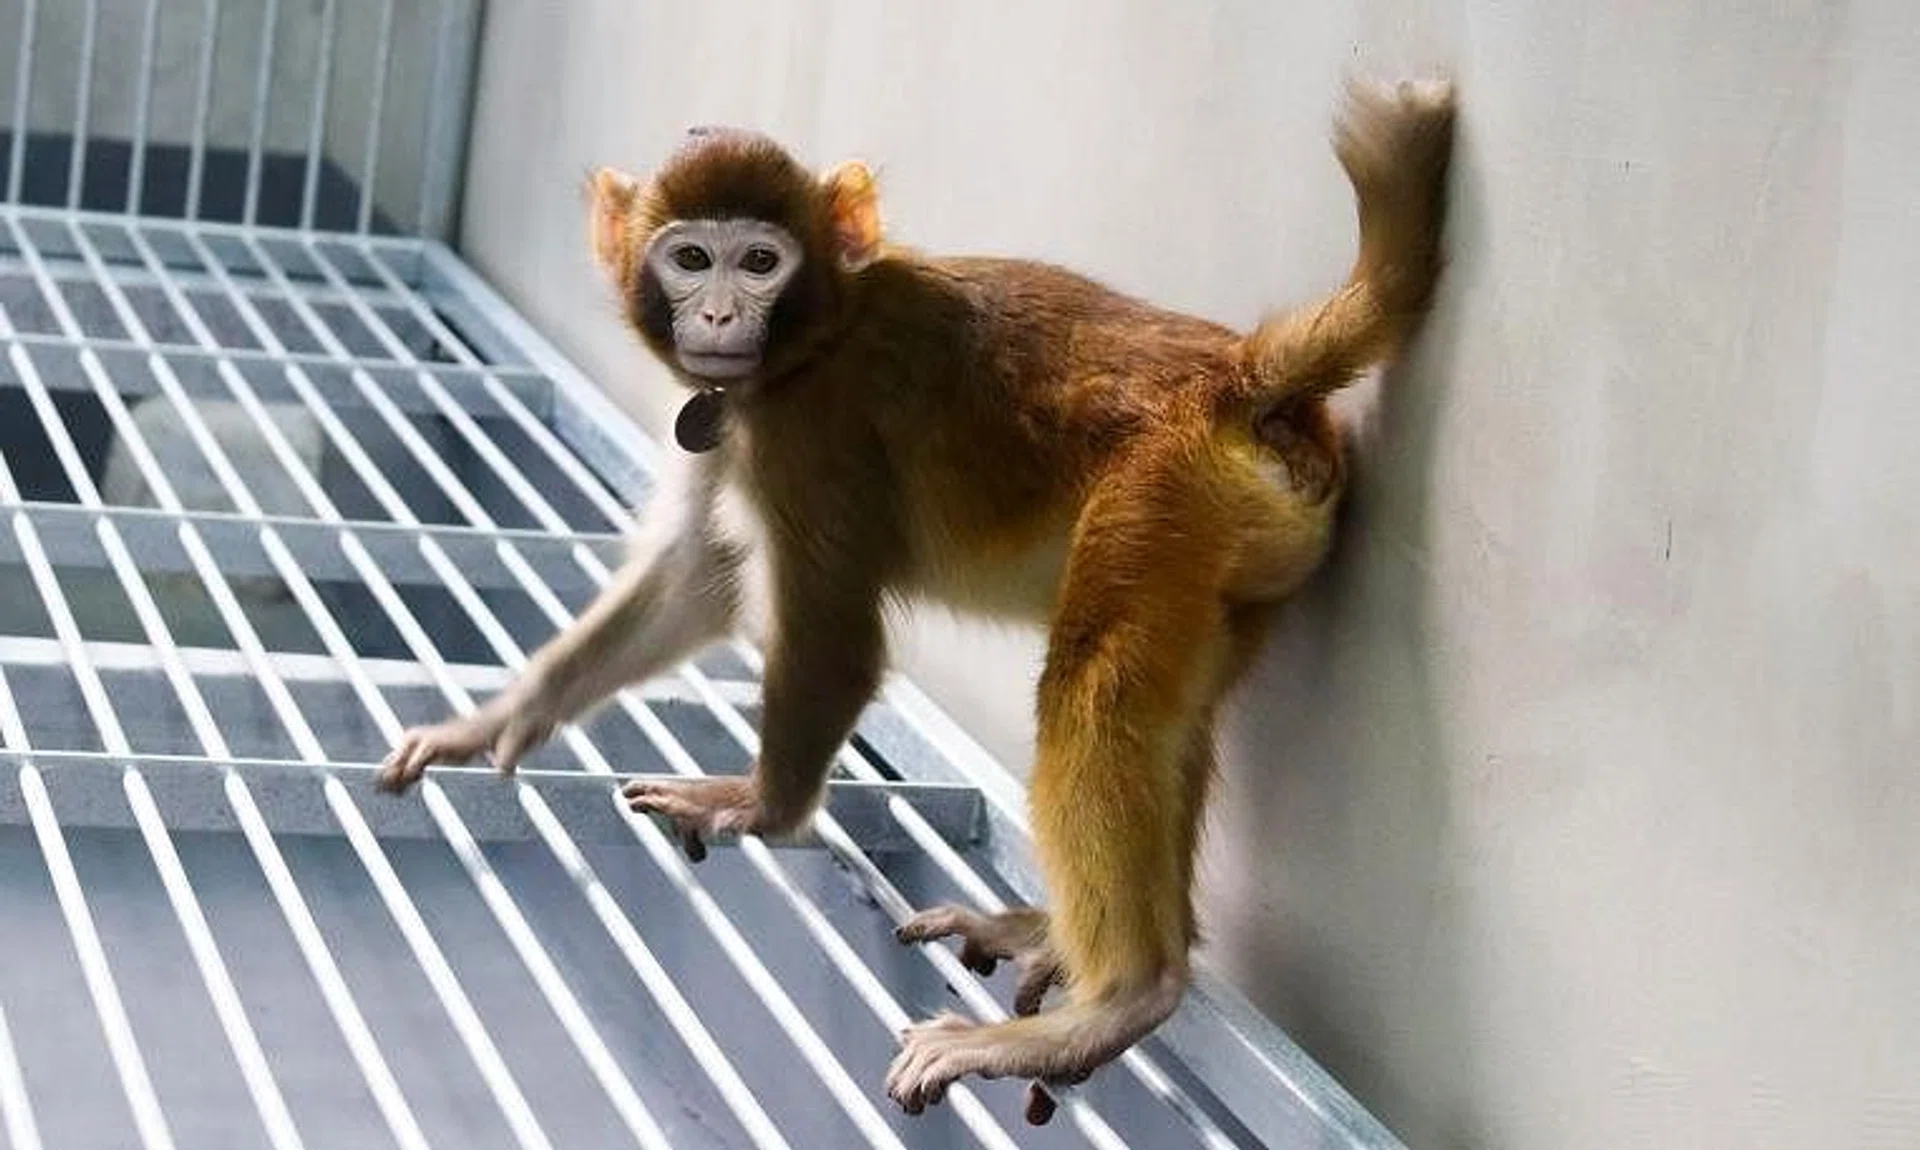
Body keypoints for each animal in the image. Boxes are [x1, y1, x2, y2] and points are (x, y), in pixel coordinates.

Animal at [378, 78, 1456, 1120]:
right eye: (689, 257)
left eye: (758, 261)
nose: (719, 317)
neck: (816, 335)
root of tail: (1239, 378)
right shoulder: (736, 418)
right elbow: (696, 576)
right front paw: (497, 720)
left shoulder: (813, 430)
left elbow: (835, 638)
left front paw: (763, 807)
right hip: (1231, 550)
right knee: (1164, 715)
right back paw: (1081, 942)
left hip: (1162, 493)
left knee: (1094, 692)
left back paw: (1118, 997)